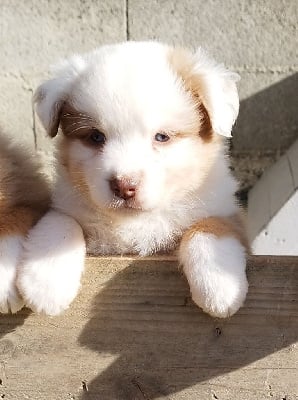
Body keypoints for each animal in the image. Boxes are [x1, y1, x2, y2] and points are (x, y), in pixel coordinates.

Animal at [16, 43, 249, 318]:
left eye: (161, 137)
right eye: (95, 136)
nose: (123, 186)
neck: (134, 223)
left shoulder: (227, 210)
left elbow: (210, 225)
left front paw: (219, 287)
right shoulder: (66, 204)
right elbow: (60, 222)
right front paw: (45, 283)